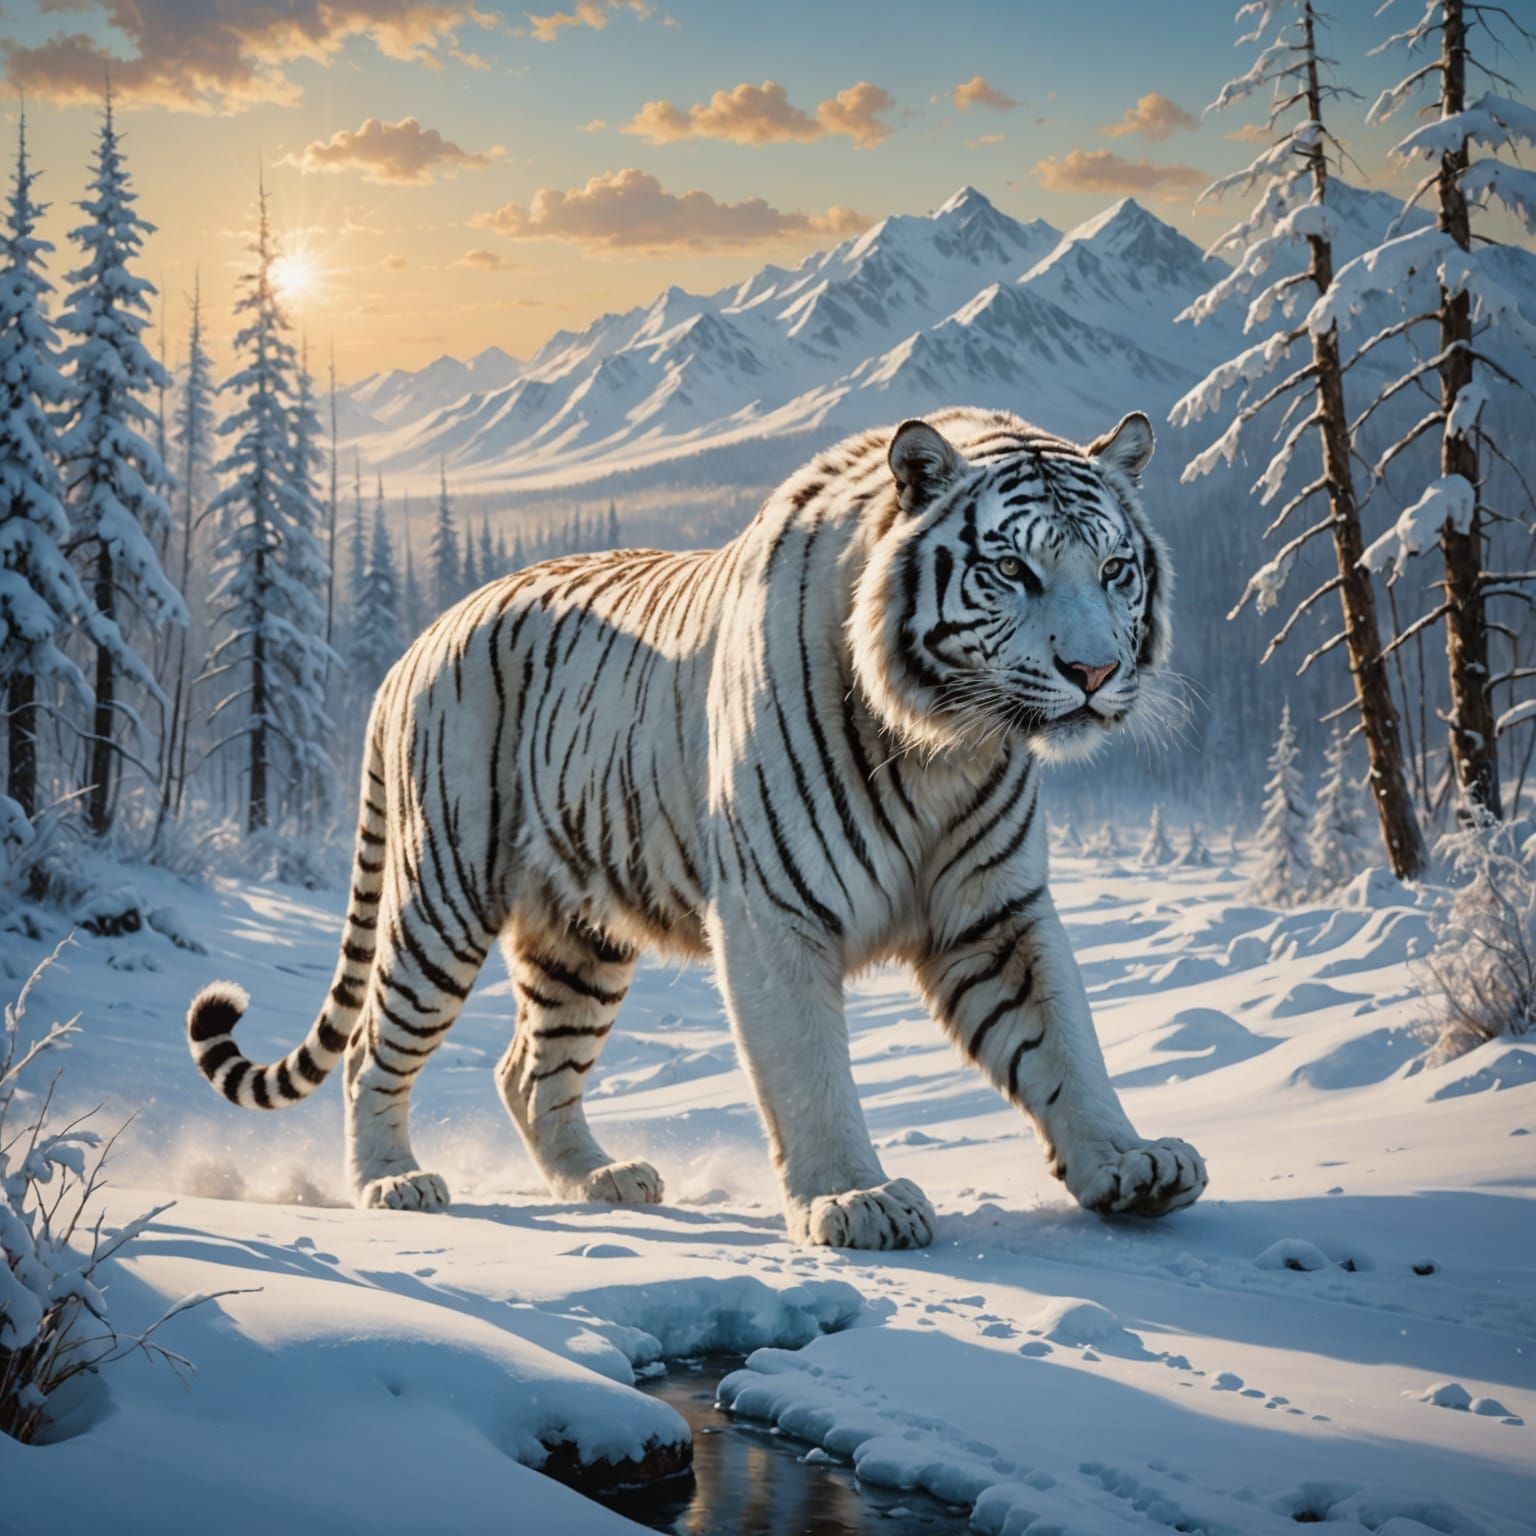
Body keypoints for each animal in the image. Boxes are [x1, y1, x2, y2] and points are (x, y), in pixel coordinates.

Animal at [187, 406, 1207, 1248]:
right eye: (1012, 570)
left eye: (1115, 570)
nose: (1092, 673)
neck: (942, 746)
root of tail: (418, 642)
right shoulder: (774, 912)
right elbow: (809, 1070)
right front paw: (853, 1199)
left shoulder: (994, 913)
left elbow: (1062, 1044)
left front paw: (1129, 1162)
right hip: (443, 896)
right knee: (373, 1045)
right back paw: (393, 1183)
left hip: (579, 938)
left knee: (528, 1068)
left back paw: (602, 1179)